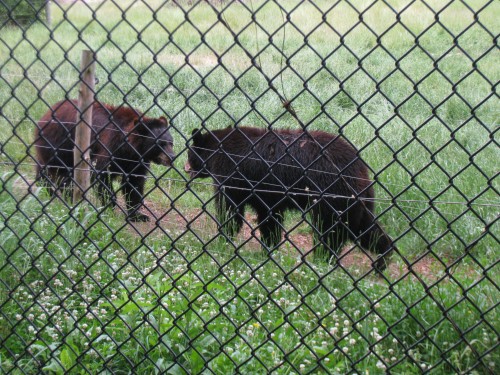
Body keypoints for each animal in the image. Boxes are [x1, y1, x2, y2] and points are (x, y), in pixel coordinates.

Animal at [34, 100, 175, 223]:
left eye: (171, 143)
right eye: (160, 144)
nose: (172, 157)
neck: (130, 149)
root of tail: (47, 113)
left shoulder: (136, 161)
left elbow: (134, 184)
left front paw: (138, 215)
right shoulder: (109, 147)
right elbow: (101, 175)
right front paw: (109, 209)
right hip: (59, 144)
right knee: (57, 171)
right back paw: (55, 191)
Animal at [186, 126, 396, 270]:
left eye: (189, 154)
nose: (185, 167)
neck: (218, 149)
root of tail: (360, 168)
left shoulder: (232, 174)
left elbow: (230, 209)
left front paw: (222, 238)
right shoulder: (266, 195)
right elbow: (269, 219)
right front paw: (268, 249)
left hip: (332, 193)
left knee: (330, 231)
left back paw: (321, 258)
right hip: (357, 200)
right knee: (363, 227)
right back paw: (384, 256)